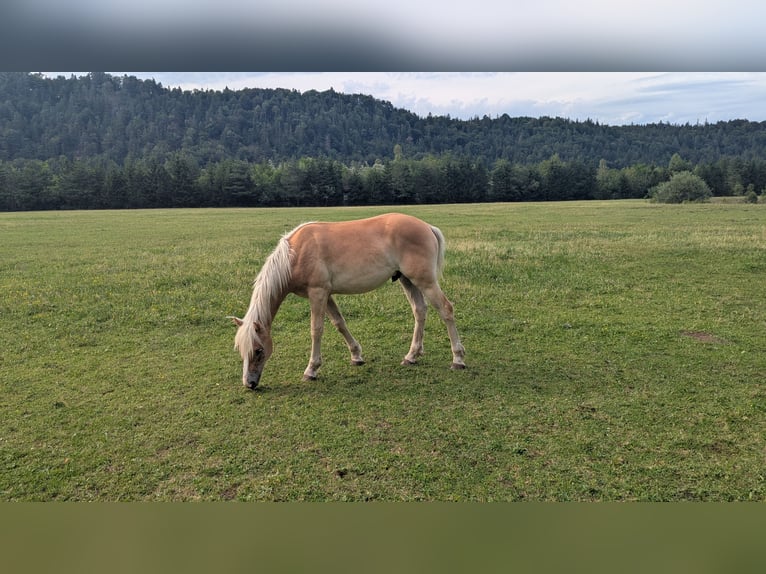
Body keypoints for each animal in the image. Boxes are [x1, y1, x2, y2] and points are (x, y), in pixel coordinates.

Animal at [230, 213, 466, 388]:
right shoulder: (327, 295)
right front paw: (356, 356)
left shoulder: (317, 293)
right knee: (420, 311)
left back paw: (458, 359)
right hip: (407, 280)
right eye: (241, 350)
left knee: (446, 309)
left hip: (425, 281)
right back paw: (412, 356)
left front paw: (311, 370)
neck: (295, 254)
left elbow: (316, 329)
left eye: (258, 351)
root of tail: (427, 226)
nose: (249, 384)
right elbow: (339, 323)